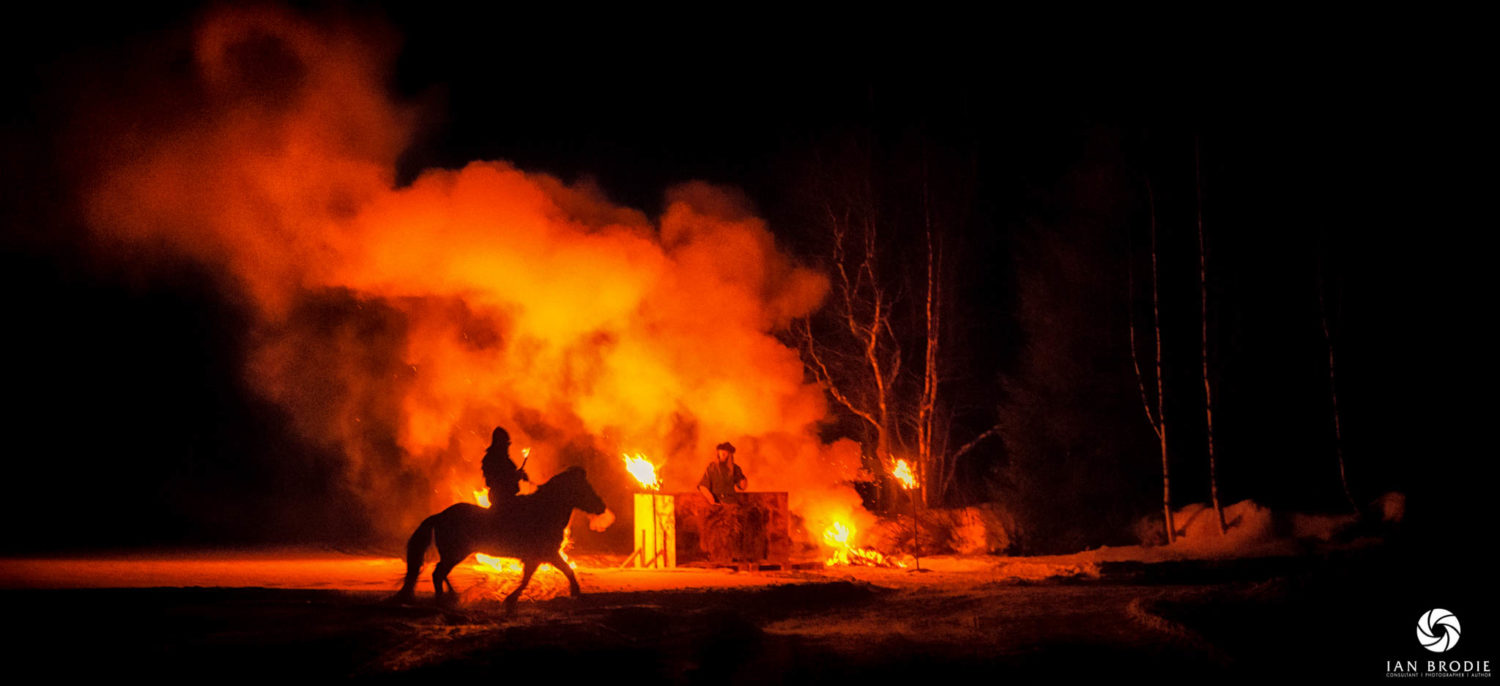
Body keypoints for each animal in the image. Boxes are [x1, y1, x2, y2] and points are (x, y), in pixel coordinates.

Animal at [399, 465, 615, 603]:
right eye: (584, 488)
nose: (601, 506)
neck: (544, 511)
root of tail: (440, 515)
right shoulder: (545, 554)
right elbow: (562, 571)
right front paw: (576, 592)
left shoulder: (538, 557)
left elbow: (533, 576)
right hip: (455, 553)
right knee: (438, 573)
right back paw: (443, 599)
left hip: (454, 554)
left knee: (440, 573)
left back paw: (452, 595)